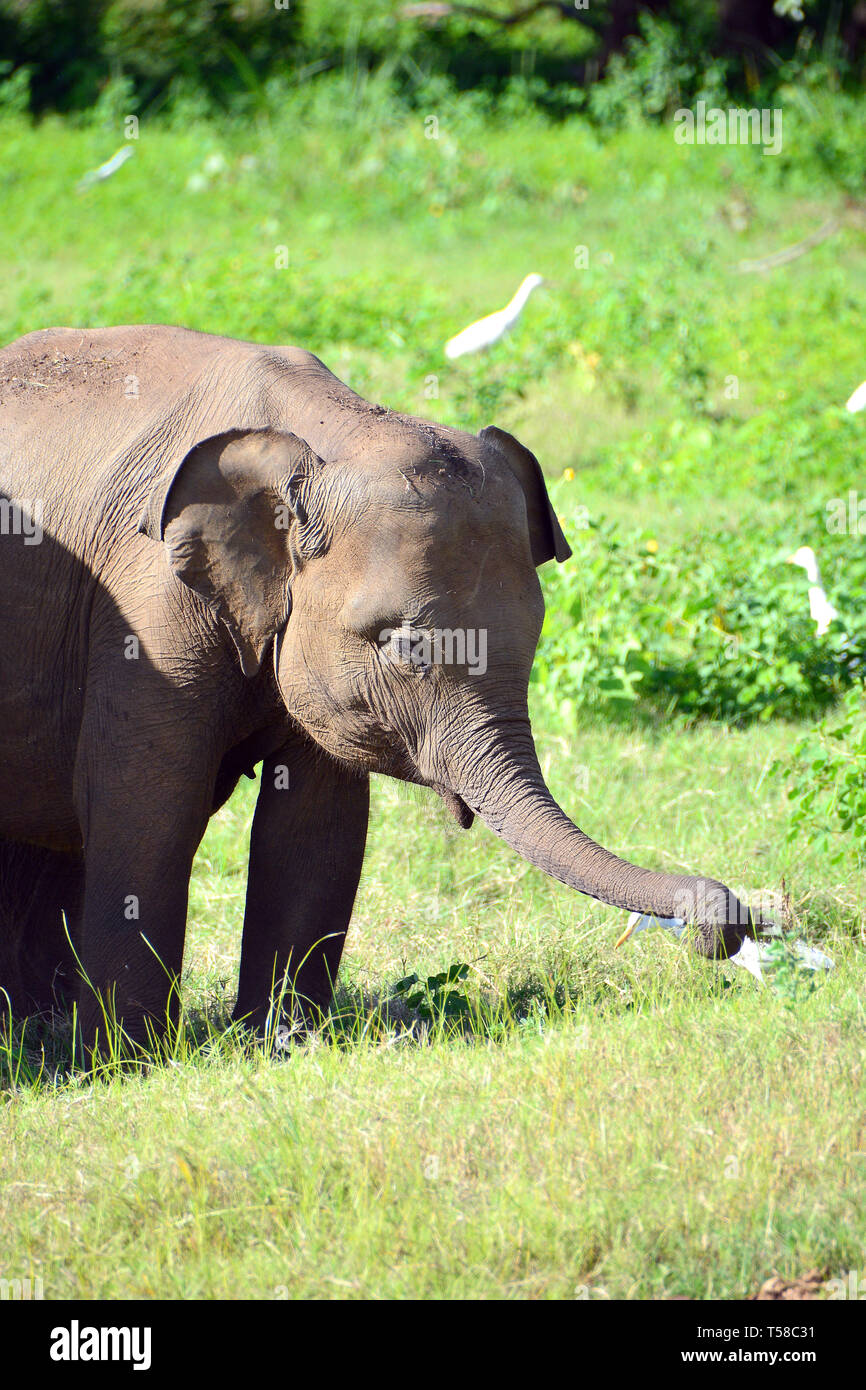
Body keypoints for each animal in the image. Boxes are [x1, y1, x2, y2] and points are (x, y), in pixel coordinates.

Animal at [0, 324, 755, 1054]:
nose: (724, 917)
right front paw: (128, 1062)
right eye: (402, 644)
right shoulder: (146, 606)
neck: (325, 429)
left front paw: (286, 1046)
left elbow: (317, 826)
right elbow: (148, 803)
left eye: (535, 636)